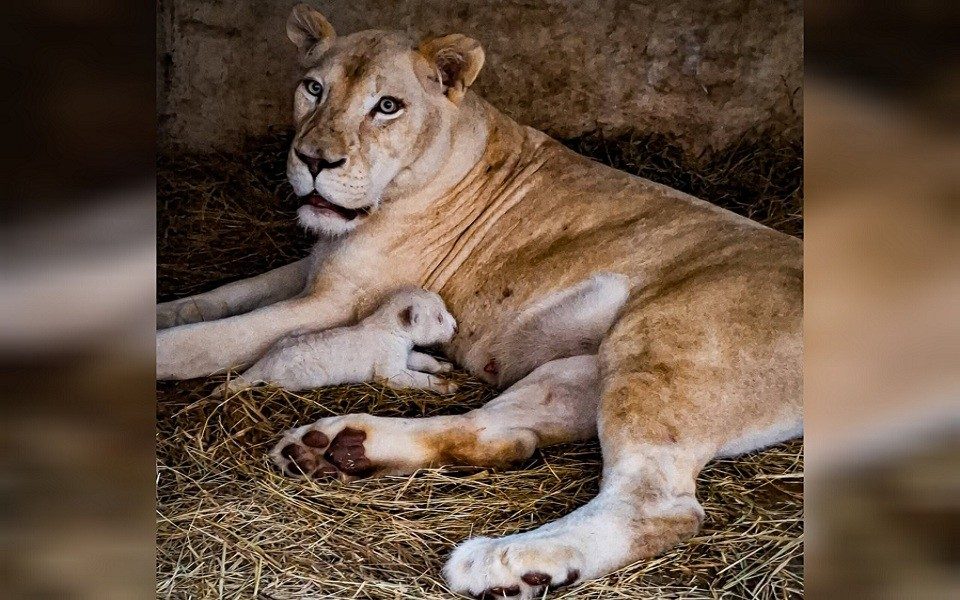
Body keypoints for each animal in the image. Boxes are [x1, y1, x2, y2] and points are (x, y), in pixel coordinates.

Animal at [157, 4, 802, 597]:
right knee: (498, 435)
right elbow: (211, 300)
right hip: (576, 371)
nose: (314, 161)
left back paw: (504, 562)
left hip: (656, 344)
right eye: (314, 88)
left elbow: (209, 340)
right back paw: (336, 447)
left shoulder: (337, 302)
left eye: (386, 106)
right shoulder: (315, 268)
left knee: (657, 504)